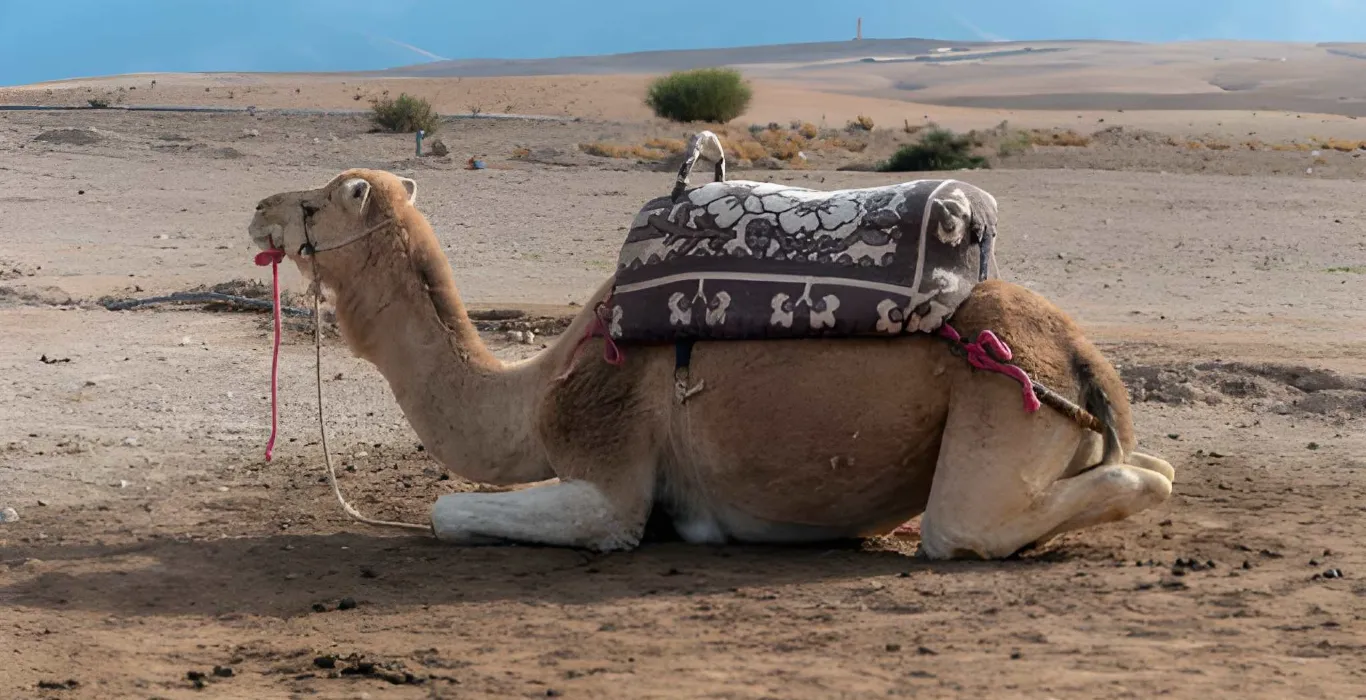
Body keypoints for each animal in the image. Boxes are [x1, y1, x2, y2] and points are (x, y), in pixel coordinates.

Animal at [247, 168, 1176, 559]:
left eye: (317, 200)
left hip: (998, 404)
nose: (257, 211)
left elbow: (448, 510)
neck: (538, 388)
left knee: (981, 524)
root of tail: (1081, 355)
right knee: (1153, 467)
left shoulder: (609, 473)